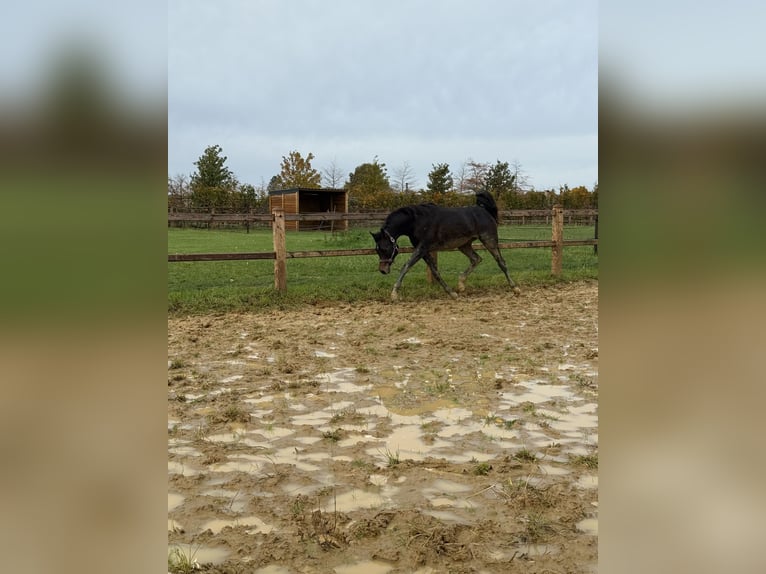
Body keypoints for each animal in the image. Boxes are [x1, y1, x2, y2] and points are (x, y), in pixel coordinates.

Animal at [371, 192, 521, 301]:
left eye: (385, 248)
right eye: (377, 250)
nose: (382, 270)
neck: (417, 220)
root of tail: (484, 211)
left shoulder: (422, 248)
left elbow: (406, 266)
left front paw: (394, 294)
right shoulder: (424, 250)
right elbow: (435, 271)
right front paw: (452, 293)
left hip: (489, 240)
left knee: (501, 262)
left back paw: (515, 289)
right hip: (464, 245)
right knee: (476, 259)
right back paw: (461, 285)